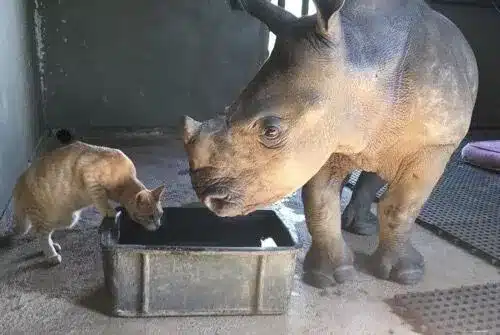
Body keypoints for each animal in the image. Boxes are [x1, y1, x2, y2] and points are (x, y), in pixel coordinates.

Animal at [10, 131, 165, 266]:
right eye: (150, 217)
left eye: (160, 215)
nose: (158, 225)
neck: (123, 181)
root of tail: (19, 181)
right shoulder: (92, 182)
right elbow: (102, 200)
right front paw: (111, 211)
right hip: (46, 216)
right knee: (41, 234)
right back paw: (51, 254)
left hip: (65, 218)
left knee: (43, 233)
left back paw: (51, 246)